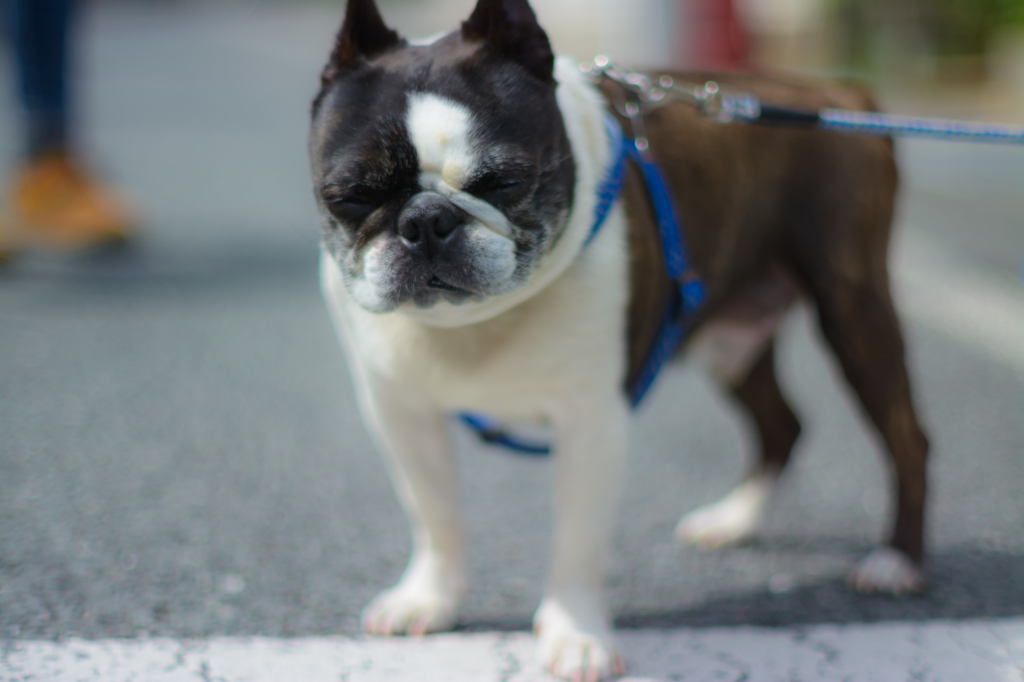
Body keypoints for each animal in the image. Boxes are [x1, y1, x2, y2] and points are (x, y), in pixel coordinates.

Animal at [307, 1, 933, 675]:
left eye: (503, 181)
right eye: (350, 196)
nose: (426, 220)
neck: (474, 323)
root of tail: (836, 92)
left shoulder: (592, 423)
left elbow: (577, 541)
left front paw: (575, 635)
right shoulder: (401, 415)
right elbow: (434, 514)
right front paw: (429, 597)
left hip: (853, 309)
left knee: (906, 436)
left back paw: (897, 561)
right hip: (728, 342)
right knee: (782, 424)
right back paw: (733, 521)